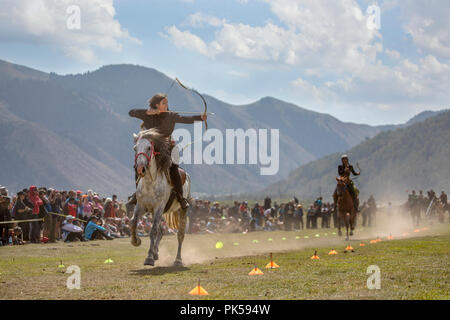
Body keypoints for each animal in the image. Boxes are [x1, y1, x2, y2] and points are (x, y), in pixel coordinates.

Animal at [128, 129, 190, 266]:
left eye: (149, 147)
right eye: (135, 148)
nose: (140, 169)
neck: (150, 184)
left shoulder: (158, 208)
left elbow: (153, 231)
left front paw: (149, 258)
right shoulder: (142, 206)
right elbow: (133, 223)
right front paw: (136, 241)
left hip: (181, 210)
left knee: (180, 235)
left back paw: (178, 260)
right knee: (161, 232)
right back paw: (156, 253)